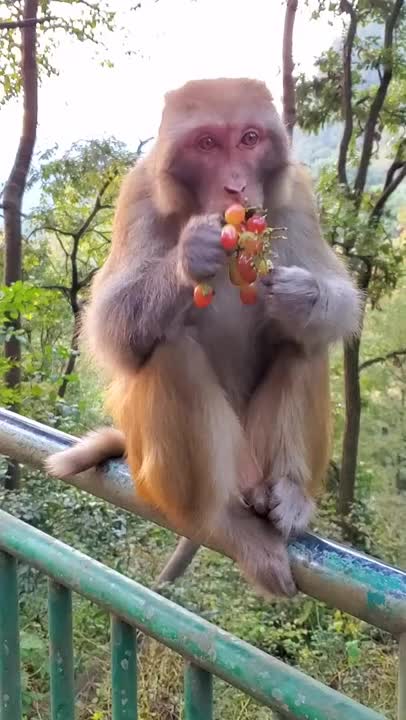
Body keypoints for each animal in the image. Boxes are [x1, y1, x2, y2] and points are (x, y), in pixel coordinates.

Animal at [45, 78, 362, 599]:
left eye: (249, 139)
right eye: (207, 143)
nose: (236, 185)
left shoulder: (296, 194)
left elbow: (341, 303)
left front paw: (302, 295)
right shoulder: (137, 196)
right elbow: (110, 329)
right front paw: (191, 254)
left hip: (255, 457)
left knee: (303, 345)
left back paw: (291, 493)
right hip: (170, 474)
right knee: (168, 350)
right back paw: (222, 521)